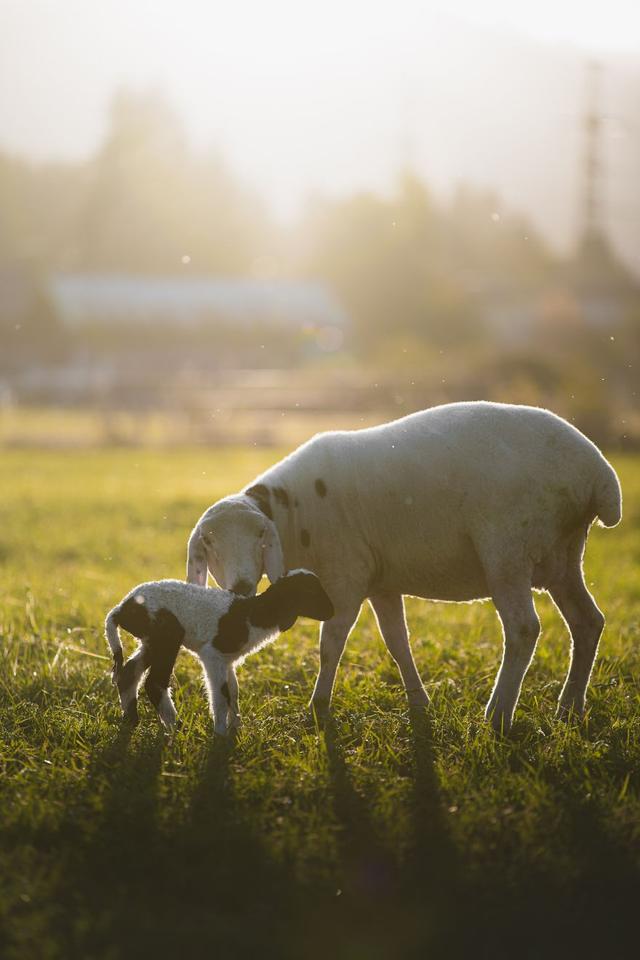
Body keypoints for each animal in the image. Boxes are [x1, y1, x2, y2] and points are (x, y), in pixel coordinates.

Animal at [104, 568, 336, 736]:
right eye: (311, 592)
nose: (331, 612)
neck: (253, 613)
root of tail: (121, 609)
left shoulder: (227, 660)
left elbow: (233, 691)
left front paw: (236, 728)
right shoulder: (212, 654)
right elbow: (221, 694)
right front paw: (221, 733)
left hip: (152, 640)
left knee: (129, 673)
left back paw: (132, 721)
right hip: (167, 636)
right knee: (154, 682)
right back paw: (175, 728)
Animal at [184, 402, 620, 732]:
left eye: (261, 537)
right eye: (209, 542)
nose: (241, 586)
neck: (295, 514)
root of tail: (598, 474)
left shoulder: (348, 575)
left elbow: (331, 643)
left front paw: (319, 707)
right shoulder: (382, 581)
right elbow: (397, 642)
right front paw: (418, 702)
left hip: (507, 549)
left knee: (524, 629)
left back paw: (497, 716)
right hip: (563, 554)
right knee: (588, 621)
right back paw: (568, 708)